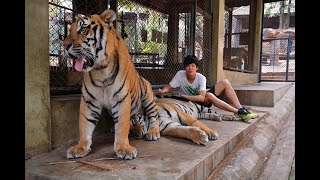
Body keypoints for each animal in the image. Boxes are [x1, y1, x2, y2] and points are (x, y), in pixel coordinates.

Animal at [63, 9, 160, 160]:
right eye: (70, 29)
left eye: (83, 29)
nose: (64, 45)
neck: (100, 70)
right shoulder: (89, 100)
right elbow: (84, 124)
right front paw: (80, 147)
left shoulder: (122, 99)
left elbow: (123, 125)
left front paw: (124, 148)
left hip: (147, 96)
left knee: (154, 116)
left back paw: (153, 132)